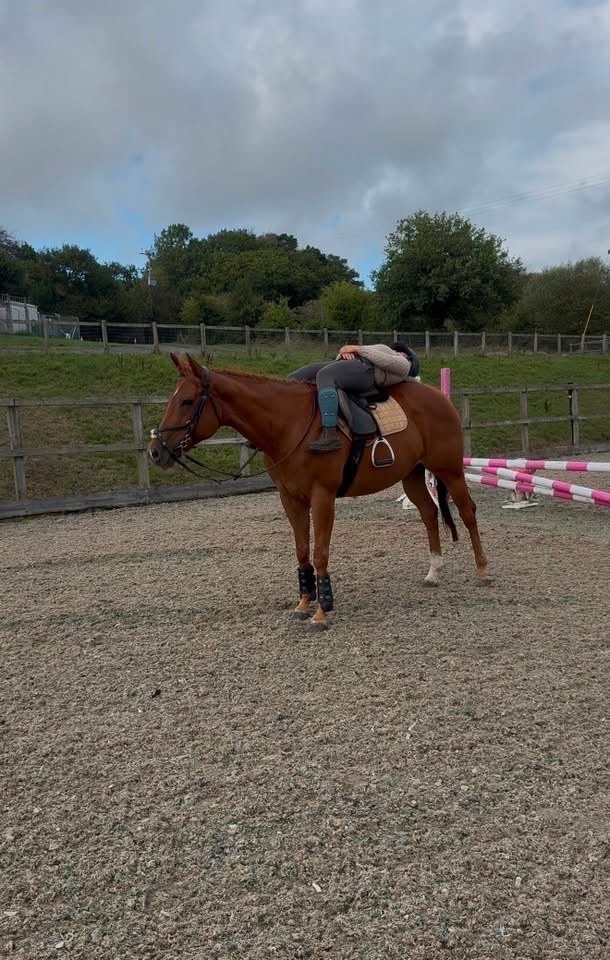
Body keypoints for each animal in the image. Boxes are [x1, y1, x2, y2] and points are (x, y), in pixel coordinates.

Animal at [147, 353, 490, 628]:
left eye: (187, 401)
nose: (155, 451)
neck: (288, 425)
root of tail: (439, 397)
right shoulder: (290, 498)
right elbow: (302, 550)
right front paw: (303, 602)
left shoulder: (322, 497)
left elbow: (320, 551)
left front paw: (322, 610)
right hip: (413, 474)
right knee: (429, 513)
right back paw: (434, 571)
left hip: (449, 470)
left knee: (468, 512)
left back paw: (483, 571)